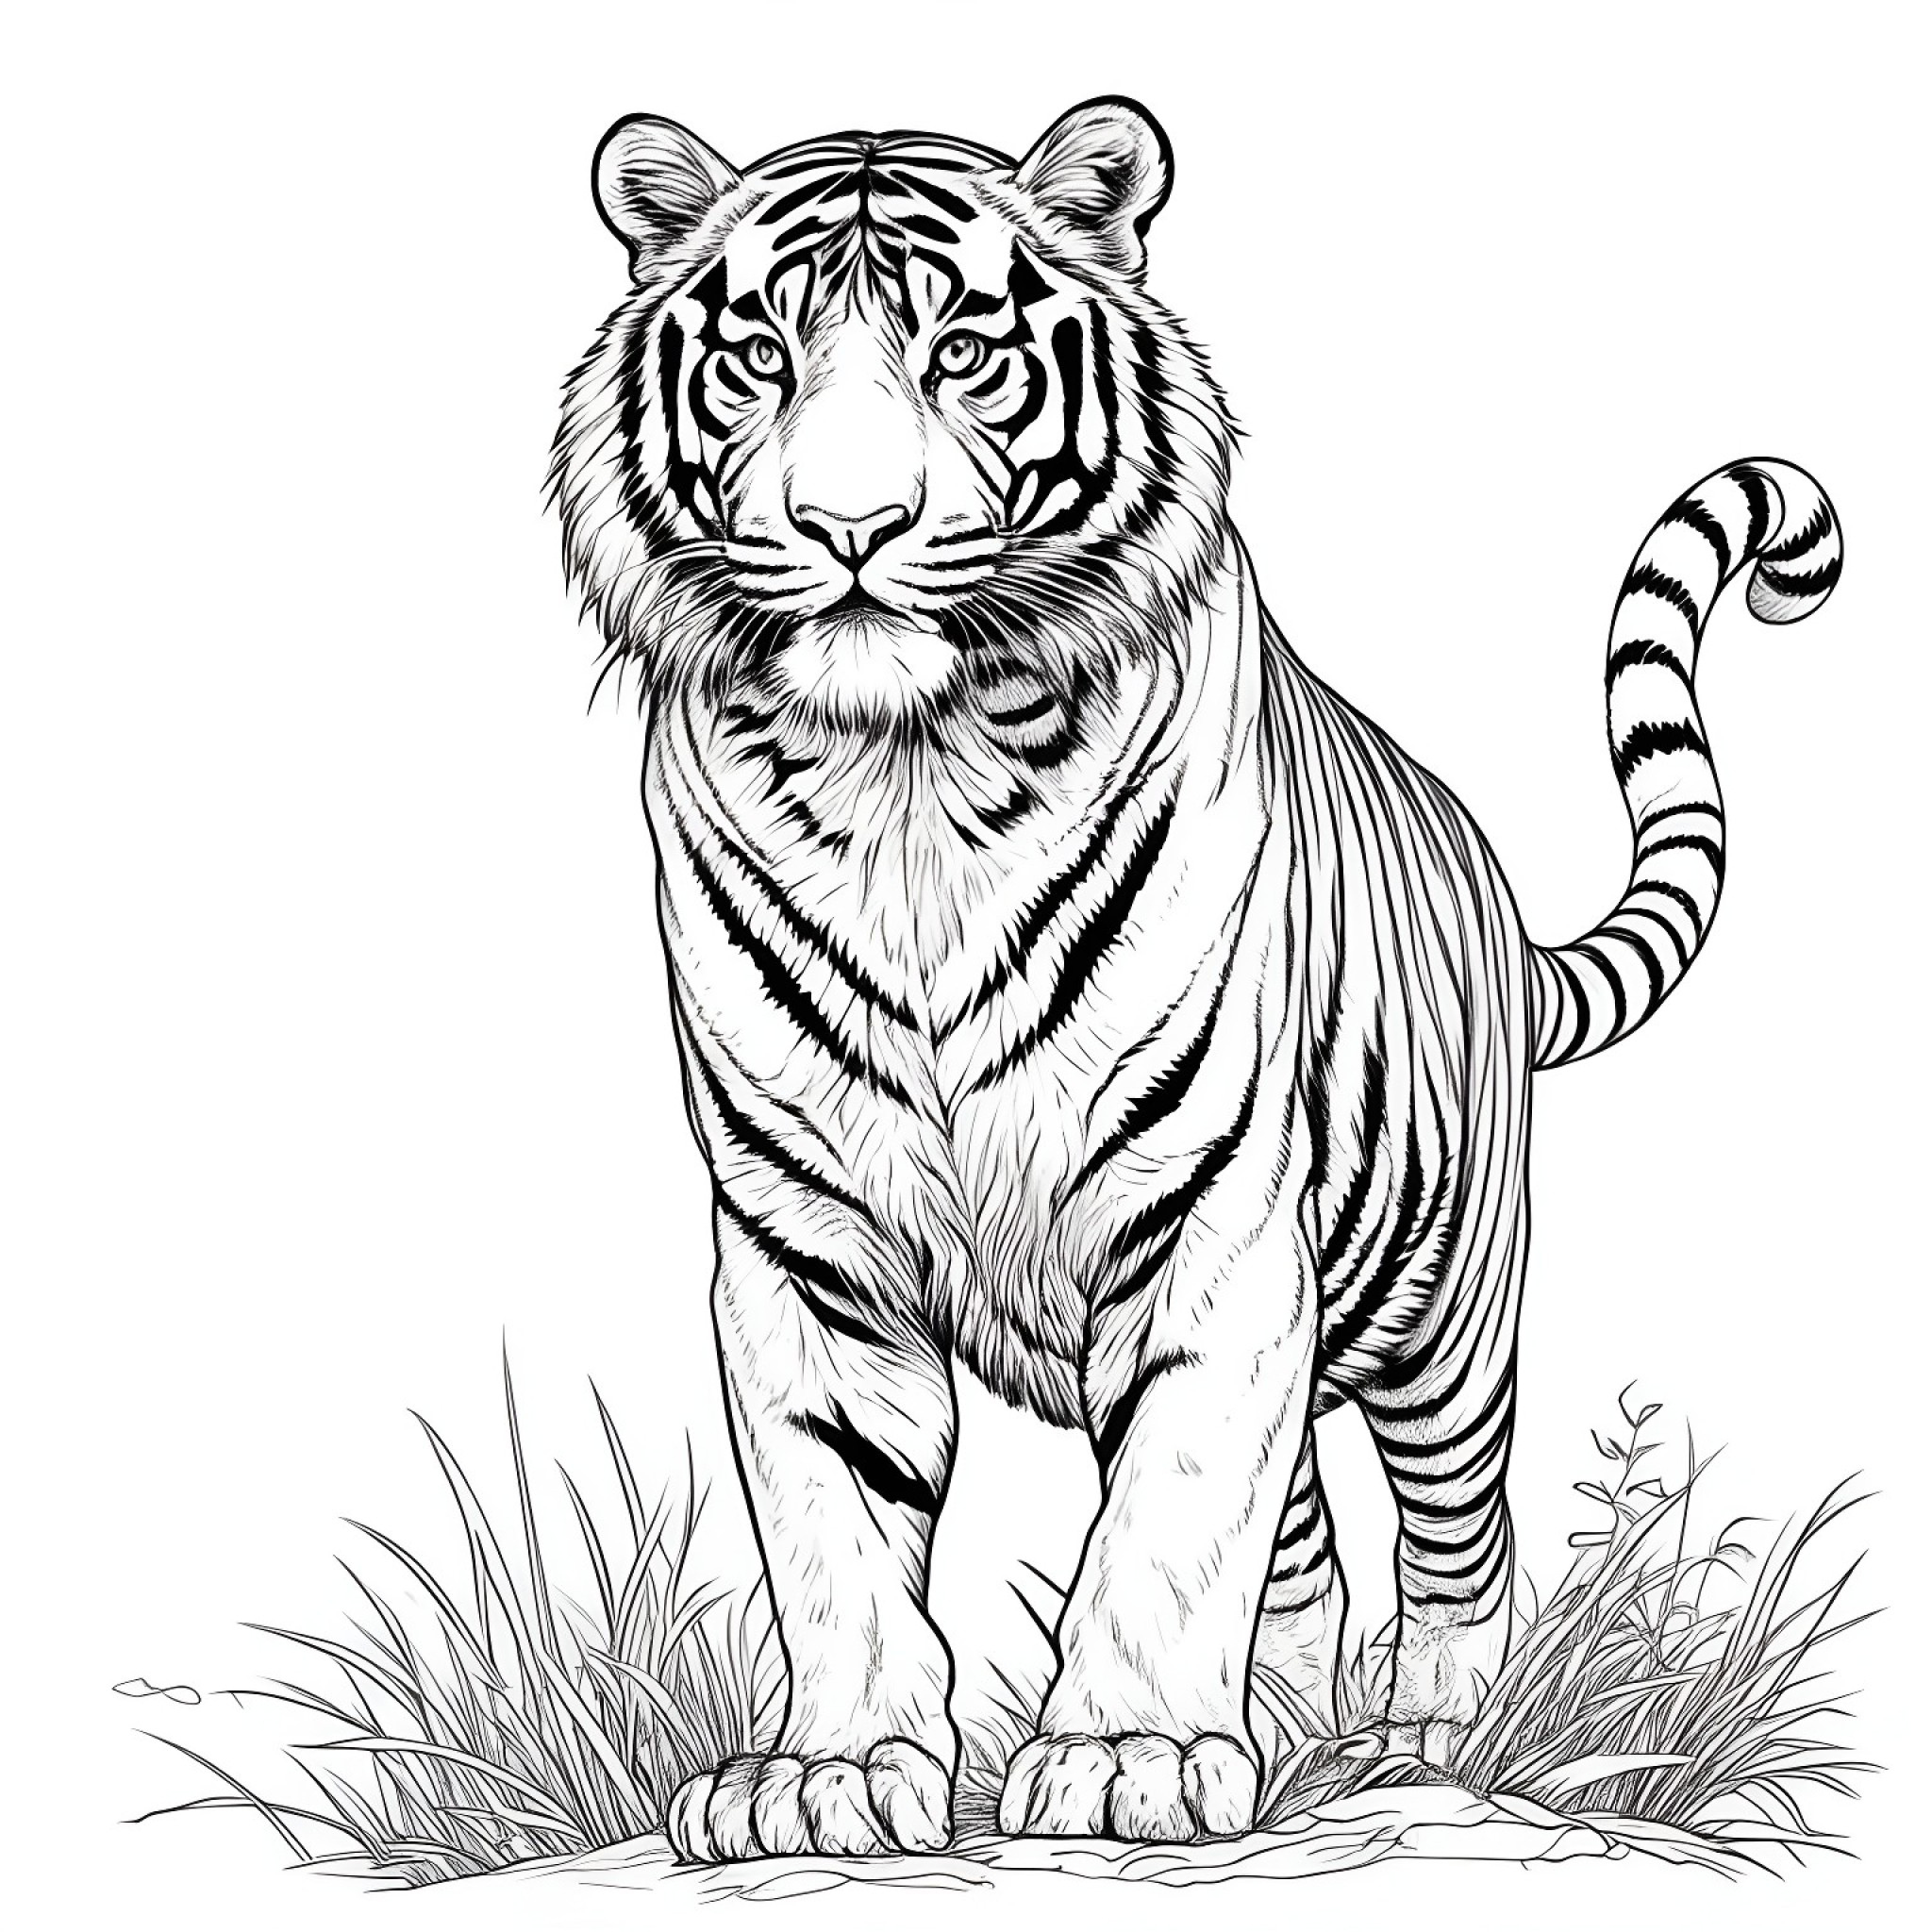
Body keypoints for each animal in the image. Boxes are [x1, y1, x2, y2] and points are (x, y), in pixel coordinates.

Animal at [549, 96, 1842, 1860]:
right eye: (758, 353)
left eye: (963, 348)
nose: (849, 528)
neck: (906, 780)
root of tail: (1497, 909)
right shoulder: (800, 1241)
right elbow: (833, 1523)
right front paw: (830, 1772)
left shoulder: (1212, 1213)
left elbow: (1169, 1508)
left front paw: (1127, 1756)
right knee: (1298, 1540)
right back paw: (1285, 1718)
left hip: (1445, 1312)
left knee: (1455, 1538)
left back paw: (1423, 1733)